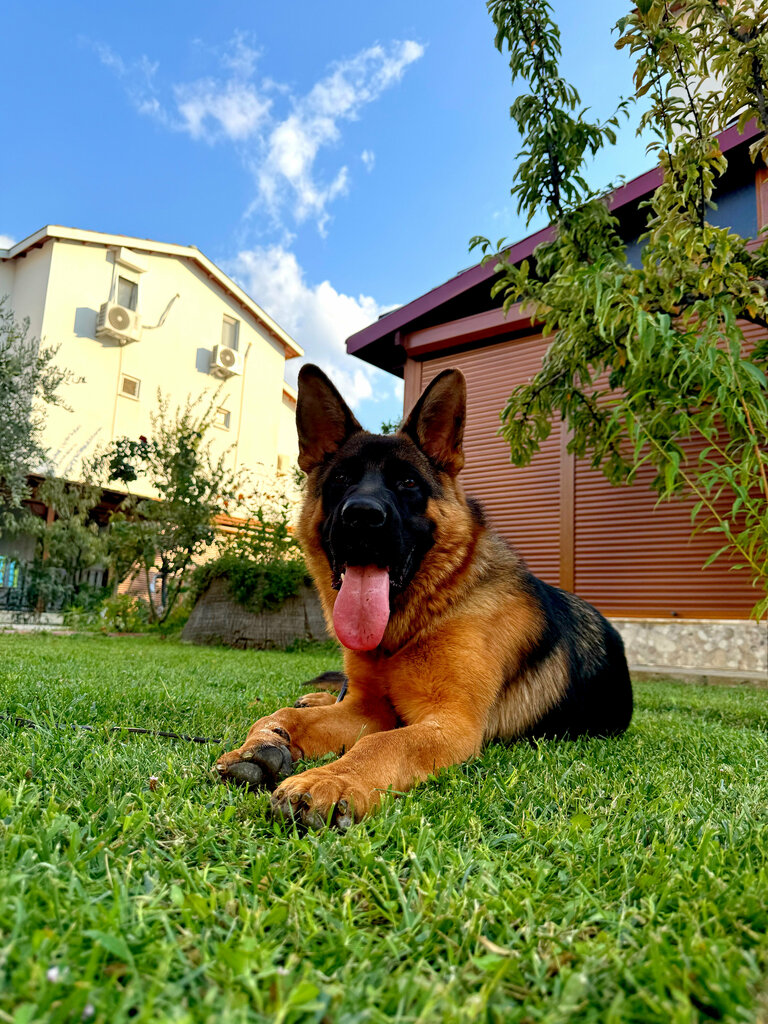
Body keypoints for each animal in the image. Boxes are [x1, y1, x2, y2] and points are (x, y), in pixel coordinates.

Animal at [215, 364, 630, 827]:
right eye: (340, 479)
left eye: (408, 482)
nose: (362, 517)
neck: (417, 623)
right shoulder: (368, 708)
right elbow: (284, 716)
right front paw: (264, 742)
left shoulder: (451, 724)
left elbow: (383, 742)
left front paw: (331, 780)